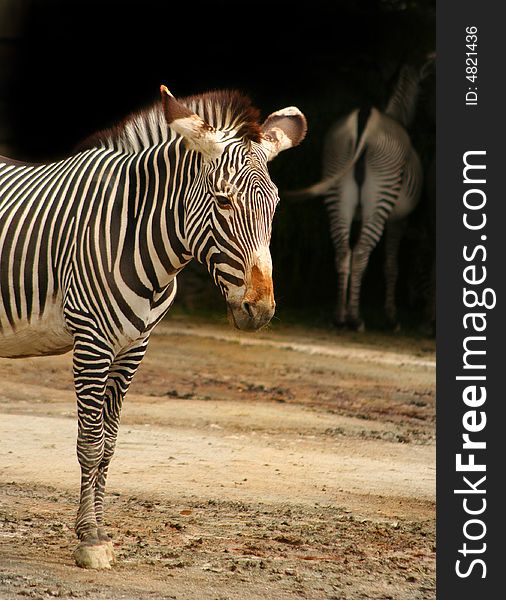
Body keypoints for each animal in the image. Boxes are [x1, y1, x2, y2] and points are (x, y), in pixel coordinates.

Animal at [0, 84, 306, 568]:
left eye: (273, 206)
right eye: (223, 201)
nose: (260, 310)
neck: (137, 236)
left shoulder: (134, 348)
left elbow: (108, 445)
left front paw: (98, 530)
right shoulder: (92, 342)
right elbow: (90, 442)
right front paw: (89, 541)